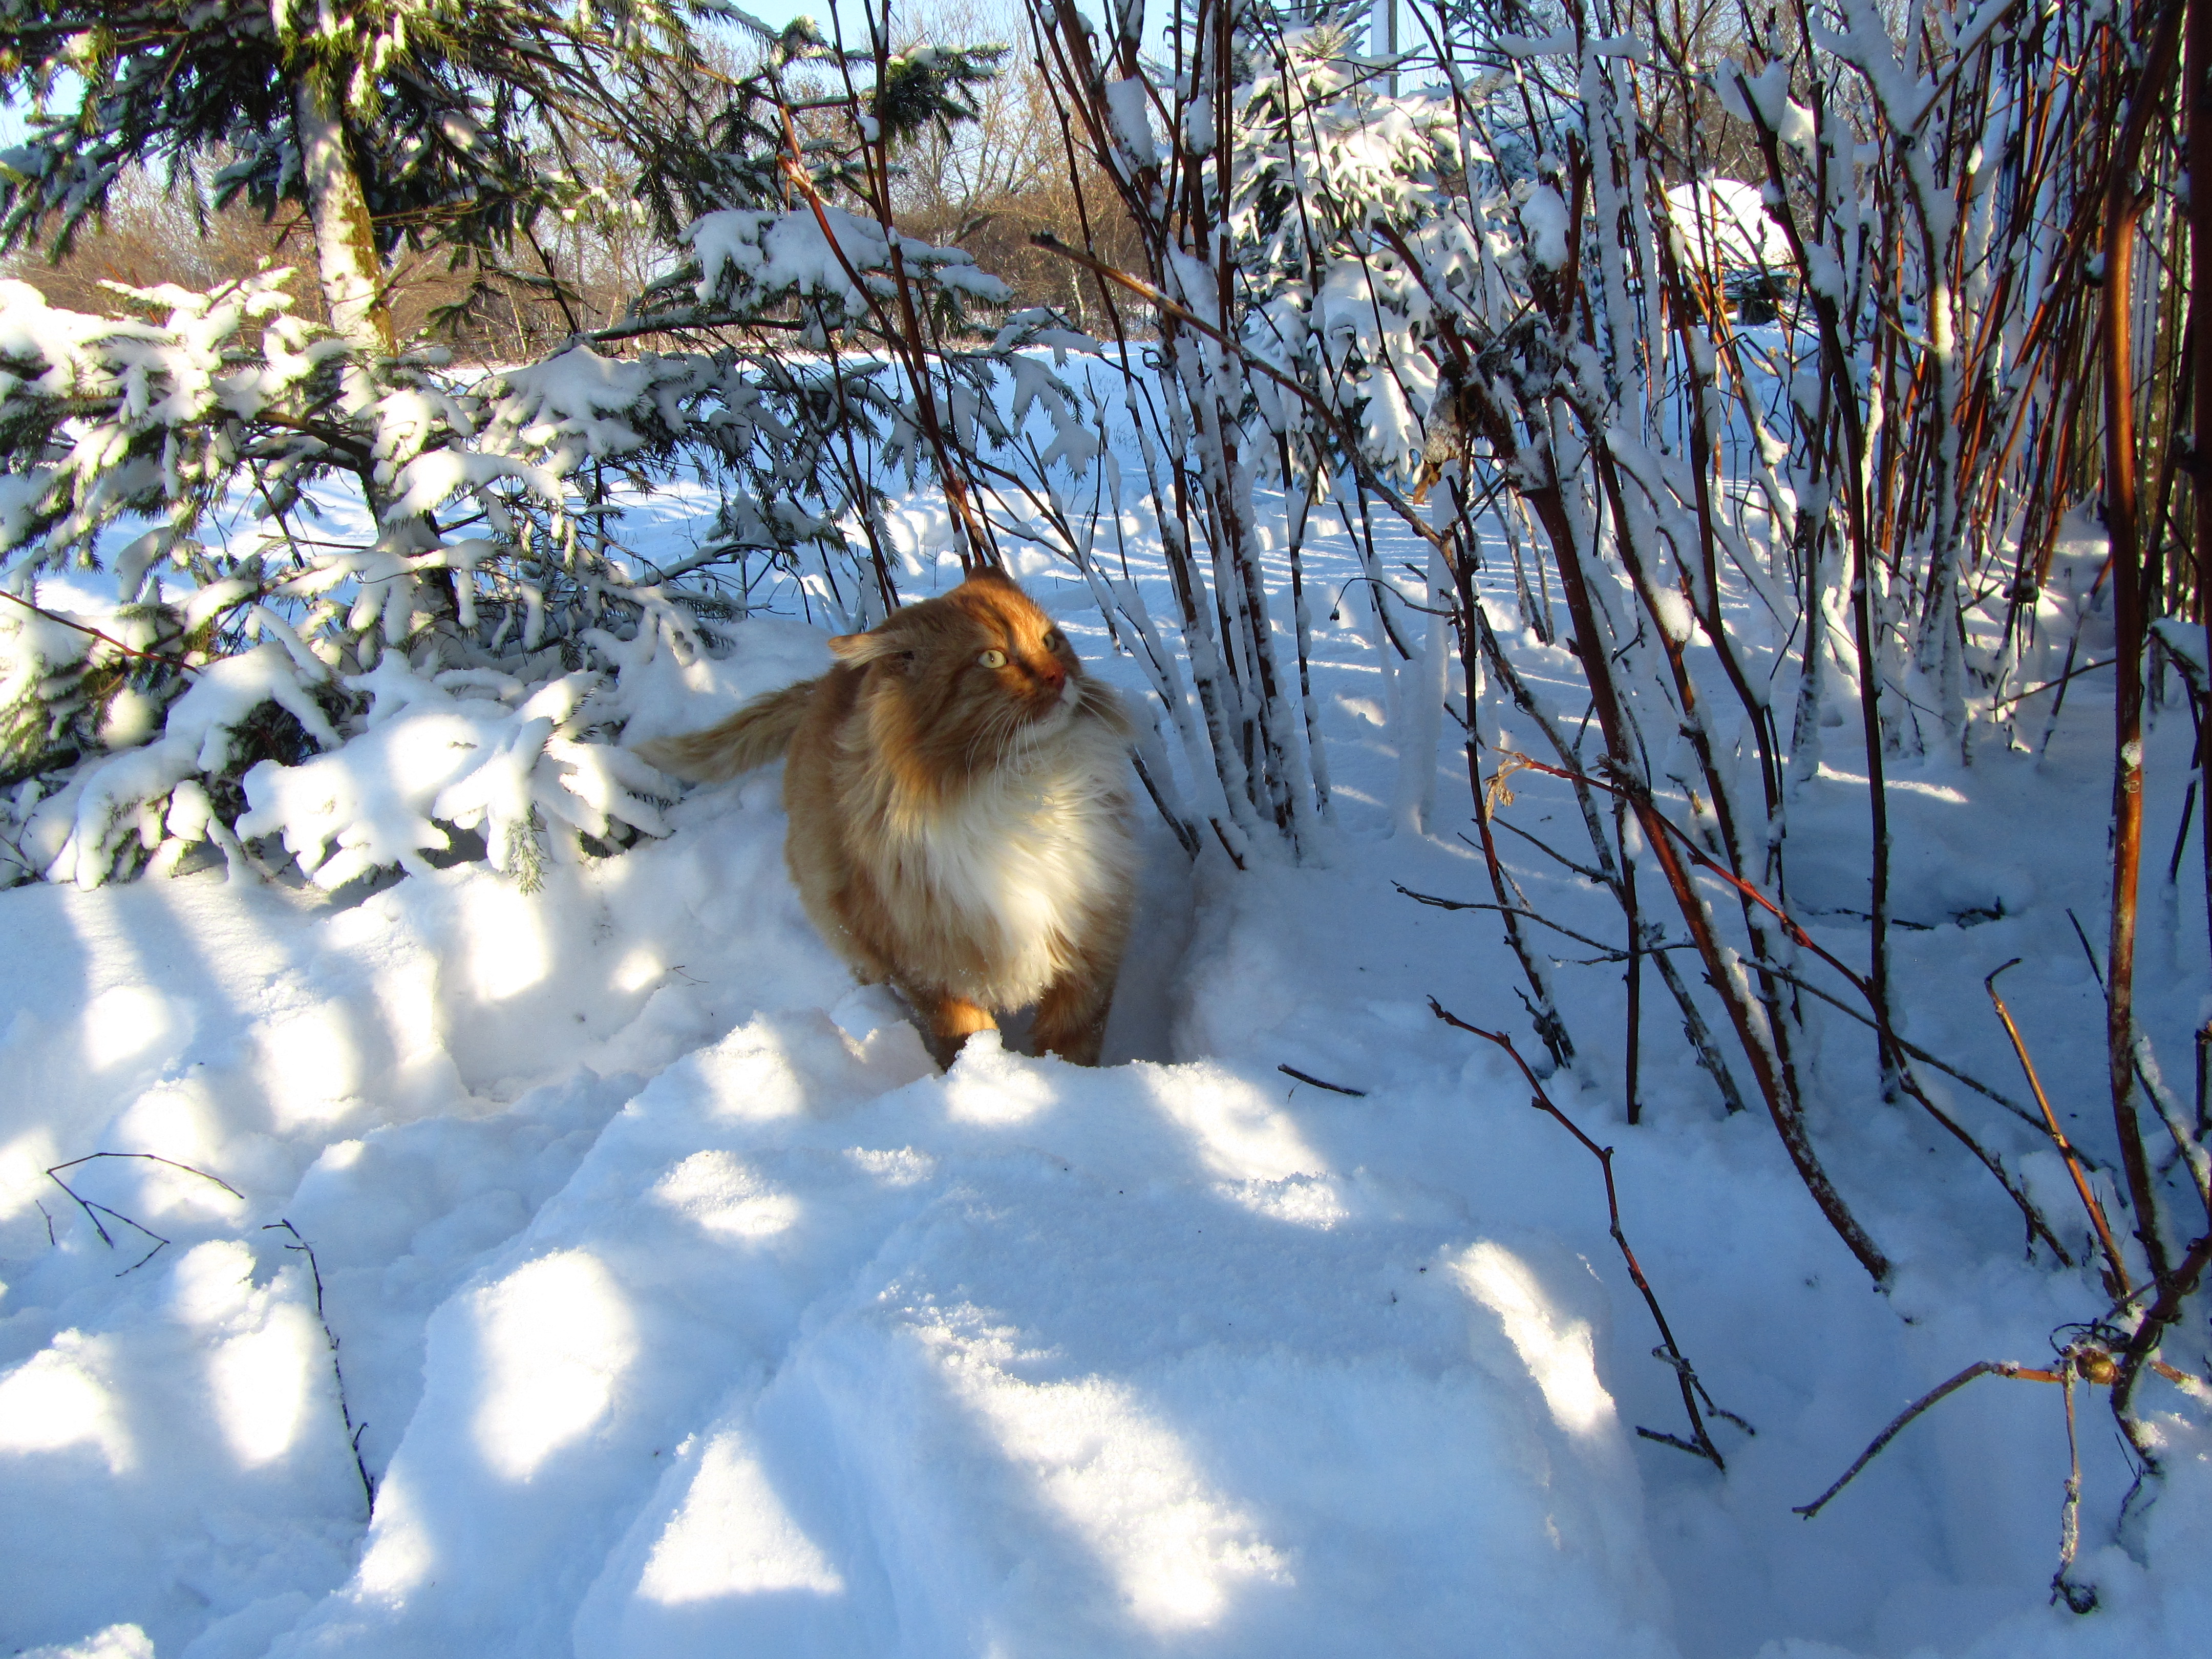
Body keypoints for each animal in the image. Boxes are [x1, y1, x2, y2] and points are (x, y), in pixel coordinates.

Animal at [632, 570, 1132, 1066]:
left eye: (1050, 642)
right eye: (992, 658)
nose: (1060, 675)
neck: (1023, 785)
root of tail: (825, 680)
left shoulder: (1089, 950)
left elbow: (1072, 1045)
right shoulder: (929, 970)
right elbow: (966, 1036)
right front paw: (981, 1071)